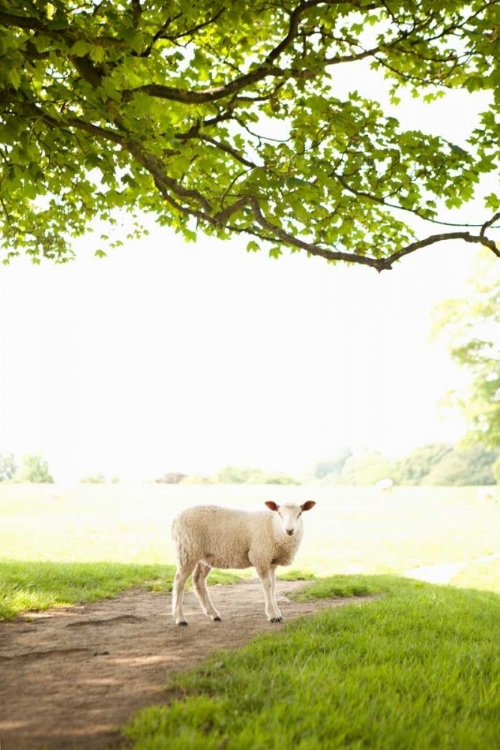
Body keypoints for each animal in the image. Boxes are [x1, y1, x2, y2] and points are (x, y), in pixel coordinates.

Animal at [170, 502, 314, 624]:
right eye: (280, 513)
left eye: (299, 513)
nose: (290, 530)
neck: (273, 527)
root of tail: (177, 518)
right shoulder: (260, 557)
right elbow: (267, 585)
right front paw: (273, 615)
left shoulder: (271, 562)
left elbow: (273, 586)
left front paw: (277, 613)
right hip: (188, 551)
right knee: (179, 582)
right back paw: (180, 618)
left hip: (205, 556)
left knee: (198, 580)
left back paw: (213, 614)